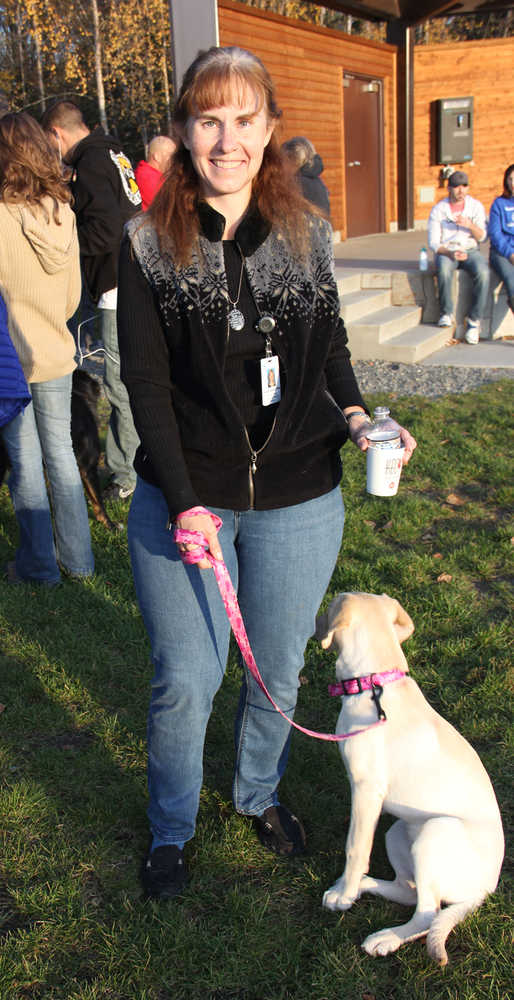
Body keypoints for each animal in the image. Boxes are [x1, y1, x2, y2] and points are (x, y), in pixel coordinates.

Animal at [316, 588, 500, 964]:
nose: (314, 620)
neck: (375, 683)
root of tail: (485, 890)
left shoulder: (366, 791)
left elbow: (355, 846)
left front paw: (345, 896)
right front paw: (346, 888)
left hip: (435, 831)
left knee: (428, 914)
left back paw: (384, 936)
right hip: (402, 829)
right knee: (409, 891)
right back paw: (367, 886)